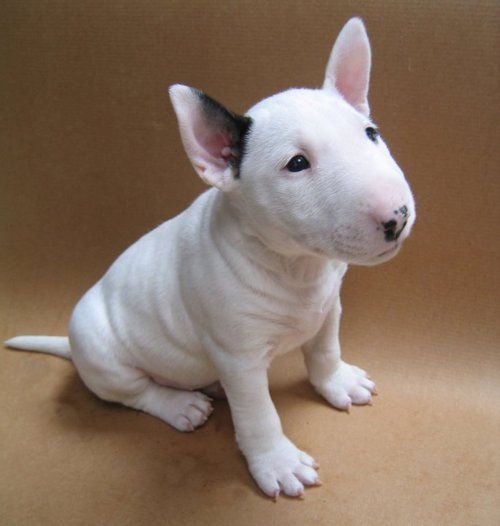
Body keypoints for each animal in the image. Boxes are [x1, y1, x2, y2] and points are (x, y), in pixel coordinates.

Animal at [6, 18, 414, 500]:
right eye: (297, 164)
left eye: (371, 134)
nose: (397, 217)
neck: (295, 266)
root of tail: (72, 346)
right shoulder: (239, 357)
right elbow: (258, 413)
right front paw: (277, 462)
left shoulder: (329, 308)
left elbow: (325, 350)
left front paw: (338, 383)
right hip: (102, 352)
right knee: (134, 392)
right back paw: (181, 405)